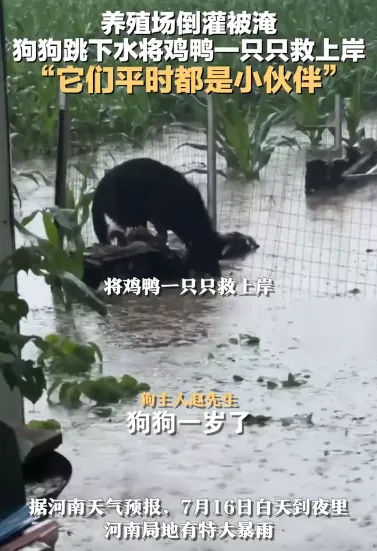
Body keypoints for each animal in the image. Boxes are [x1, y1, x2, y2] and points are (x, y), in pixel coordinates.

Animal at [91, 157, 220, 278]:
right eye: (209, 253)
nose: (218, 273)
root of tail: (98, 192)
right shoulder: (158, 215)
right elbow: (163, 236)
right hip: (128, 213)